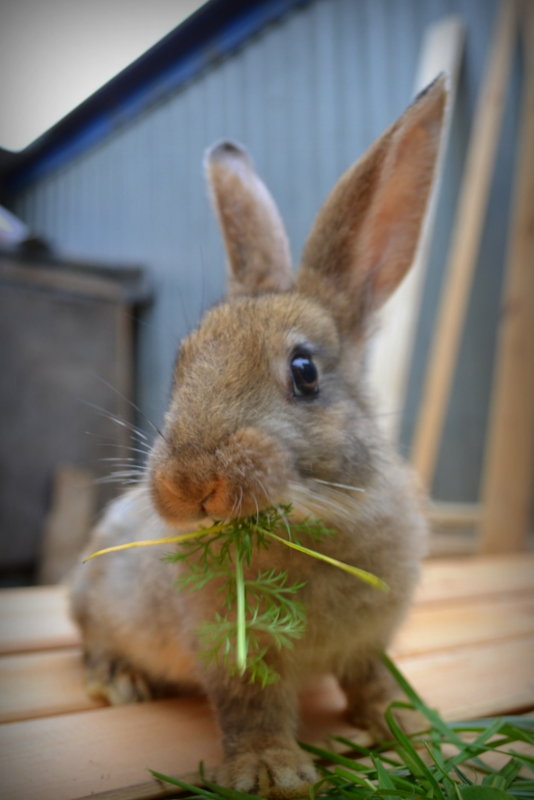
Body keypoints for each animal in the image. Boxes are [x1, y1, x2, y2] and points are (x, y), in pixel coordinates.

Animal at [70, 76, 448, 800]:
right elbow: (252, 705)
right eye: (182, 364)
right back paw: (120, 680)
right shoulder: (233, 650)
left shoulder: (372, 640)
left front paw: (411, 724)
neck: (311, 523)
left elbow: (372, 680)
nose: (188, 483)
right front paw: (270, 770)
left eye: (304, 372)